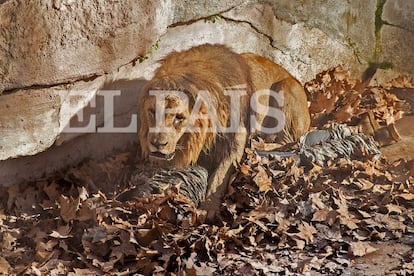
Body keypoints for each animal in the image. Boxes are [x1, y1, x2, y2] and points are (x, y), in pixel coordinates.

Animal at [139, 43, 310, 216]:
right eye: (152, 112)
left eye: (179, 117)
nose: (157, 144)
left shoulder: (237, 136)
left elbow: (221, 174)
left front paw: (208, 208)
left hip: (285, 87)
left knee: (289, 142)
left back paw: (258, 144)